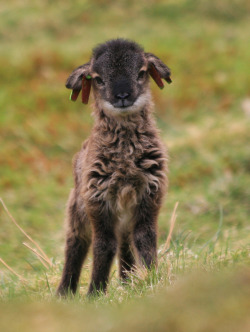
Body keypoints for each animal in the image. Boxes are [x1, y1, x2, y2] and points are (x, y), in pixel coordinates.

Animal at [57, 39, 172, 296]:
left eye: (141, 72)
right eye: (98, 78)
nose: (122, 95)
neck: (126, 164)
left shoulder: (150, 194)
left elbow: (145, 239)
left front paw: (151, 277)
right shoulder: (97, 199)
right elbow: (103, 246)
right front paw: (95, 292)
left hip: (124, 217)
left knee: (125, 244)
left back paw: (126, 281)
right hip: (77, 208)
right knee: (75, 243)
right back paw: (64, 292)